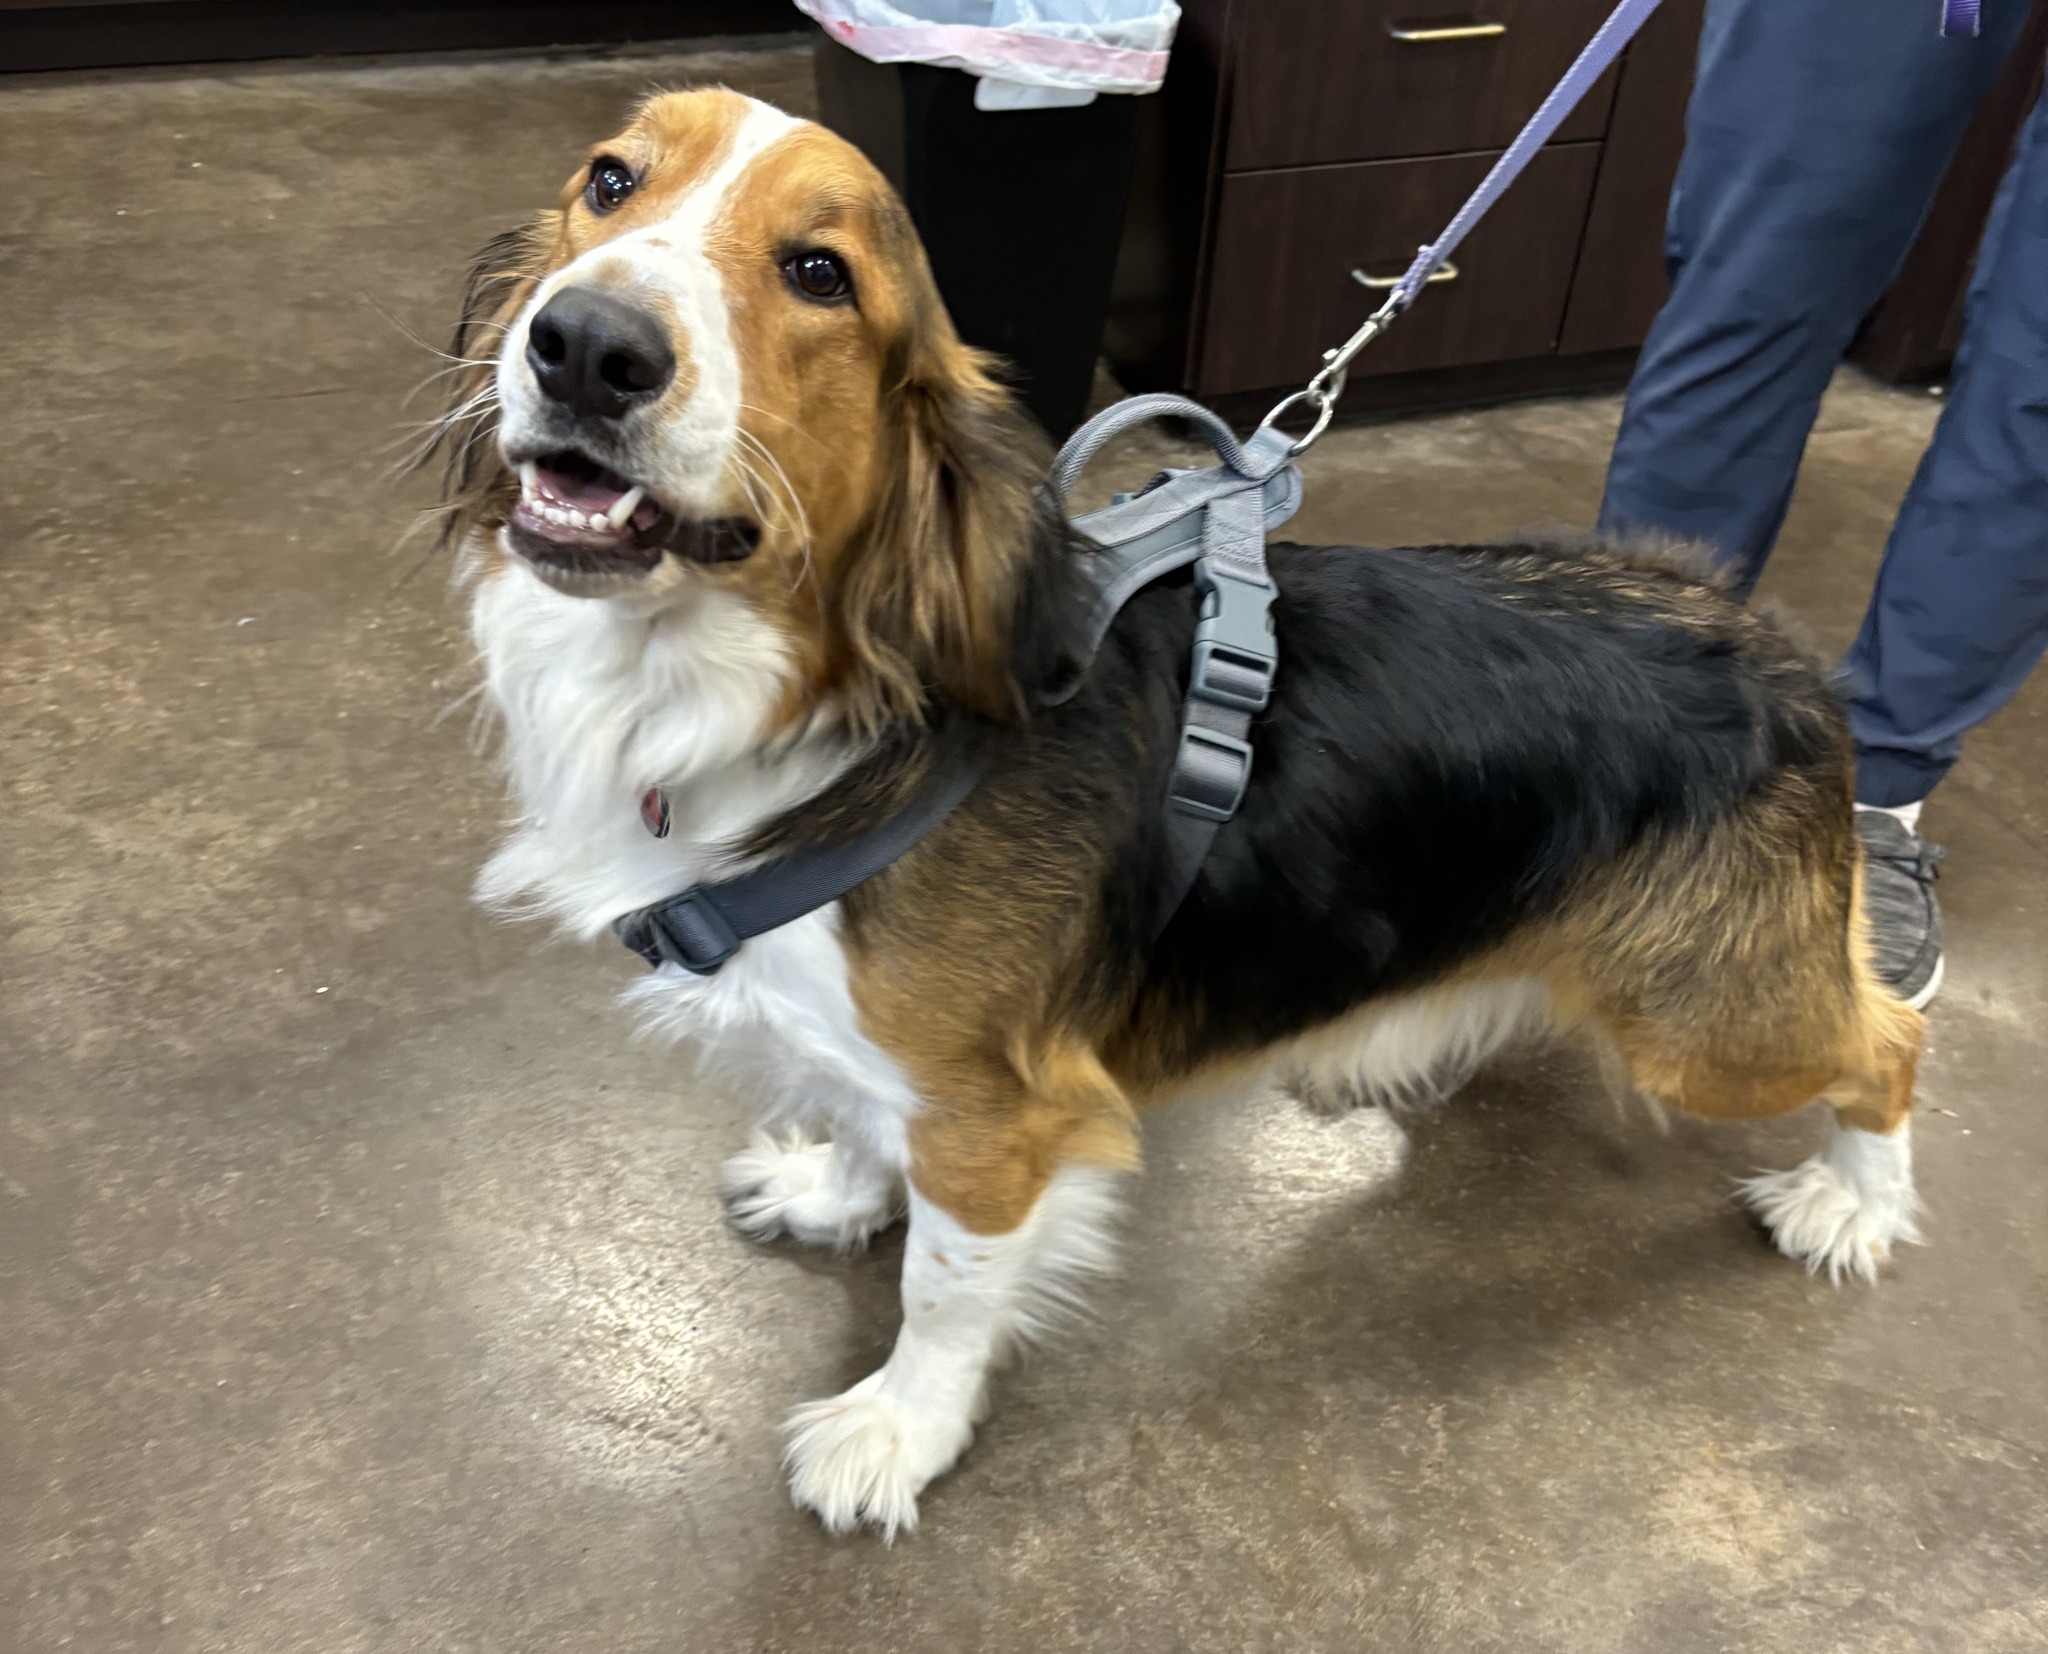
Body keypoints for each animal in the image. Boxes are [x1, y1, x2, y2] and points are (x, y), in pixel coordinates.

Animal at [423, 86, 1925, 1539]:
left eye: (818, 273)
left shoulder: (1001, 1119)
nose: (585, 345)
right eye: (610, 181)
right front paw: (833, 1196)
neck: (808, 708)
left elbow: (944, 1289)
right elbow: (857, 1120)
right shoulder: (895, 1060)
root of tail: (1765, 642)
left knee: (1888, 1039)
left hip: (1711, 1027)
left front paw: (899, 1430)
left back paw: (1852, 1200)